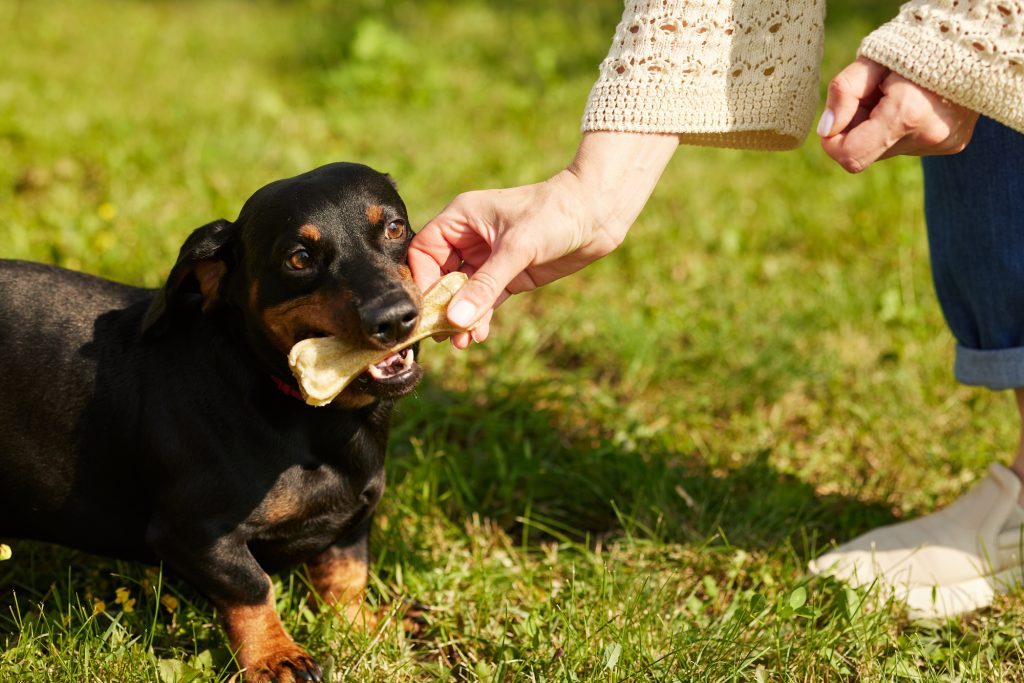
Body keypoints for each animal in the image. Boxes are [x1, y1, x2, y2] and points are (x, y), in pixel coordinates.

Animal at [0, 162, 428, 679]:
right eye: (299, 258)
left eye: (394, 228)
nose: (395, 318)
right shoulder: (195, 535)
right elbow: (253, 588)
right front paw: (276, 656)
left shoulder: (352, 523)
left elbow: (345, 576)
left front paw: (367, 626)